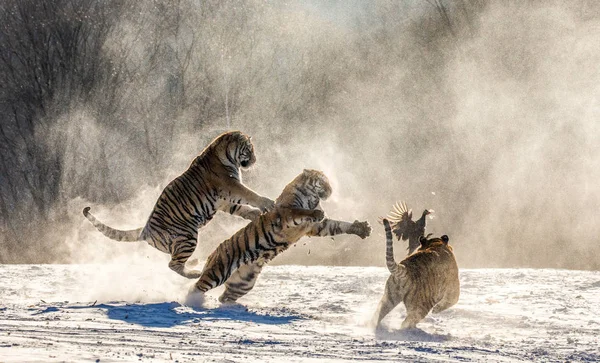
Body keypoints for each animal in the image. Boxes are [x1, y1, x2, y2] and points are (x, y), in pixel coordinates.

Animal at [82, 131, 274, 278]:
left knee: (175, 260)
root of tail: (145, 230)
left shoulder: (221, 200)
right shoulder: (230, 186)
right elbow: (250, 195)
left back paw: (195, 262)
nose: (255, 160)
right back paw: (196, 272)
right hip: (188, 235)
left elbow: (240, 208)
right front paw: (268, 203)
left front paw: (255, 214)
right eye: (249, 149)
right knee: (173, 264)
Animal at [190, 171, 372, 304]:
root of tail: (213, 253)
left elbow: (338, 225)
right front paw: (316, 213)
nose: (331, 190)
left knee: (225, 297)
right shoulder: (286, 214)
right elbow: (299, 211)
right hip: (218, 271)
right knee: (196, 287)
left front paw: (362, 228)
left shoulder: (316, 228)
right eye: (323, 182)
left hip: (244, 283)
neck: (312, 197)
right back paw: (192, 302)